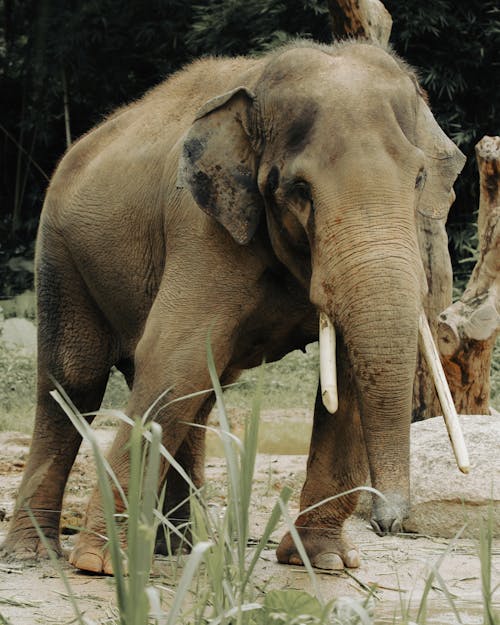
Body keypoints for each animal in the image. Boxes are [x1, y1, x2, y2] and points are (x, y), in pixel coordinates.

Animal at [2, 41, 464, 572]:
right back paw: (35, 553)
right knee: (72, 384)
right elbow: (173, 357)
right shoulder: (200, 228)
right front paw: (100, 563)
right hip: (59, 254)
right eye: (299, 189)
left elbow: (345, 377)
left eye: (419, 178)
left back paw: (177, 547)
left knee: (196, 397)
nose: (388, 522)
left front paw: (324, 560)